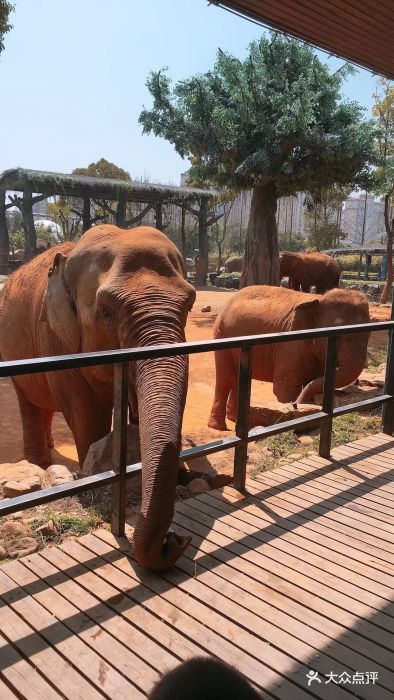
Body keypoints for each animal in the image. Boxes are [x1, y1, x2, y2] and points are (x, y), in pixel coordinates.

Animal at [0, 224, 197, 568]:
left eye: (189, 305)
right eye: (105, 312)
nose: (176, 539)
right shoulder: (57, 338)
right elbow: (87, 414)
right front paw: (91, 473)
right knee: (29, 401)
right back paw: (39, 462)